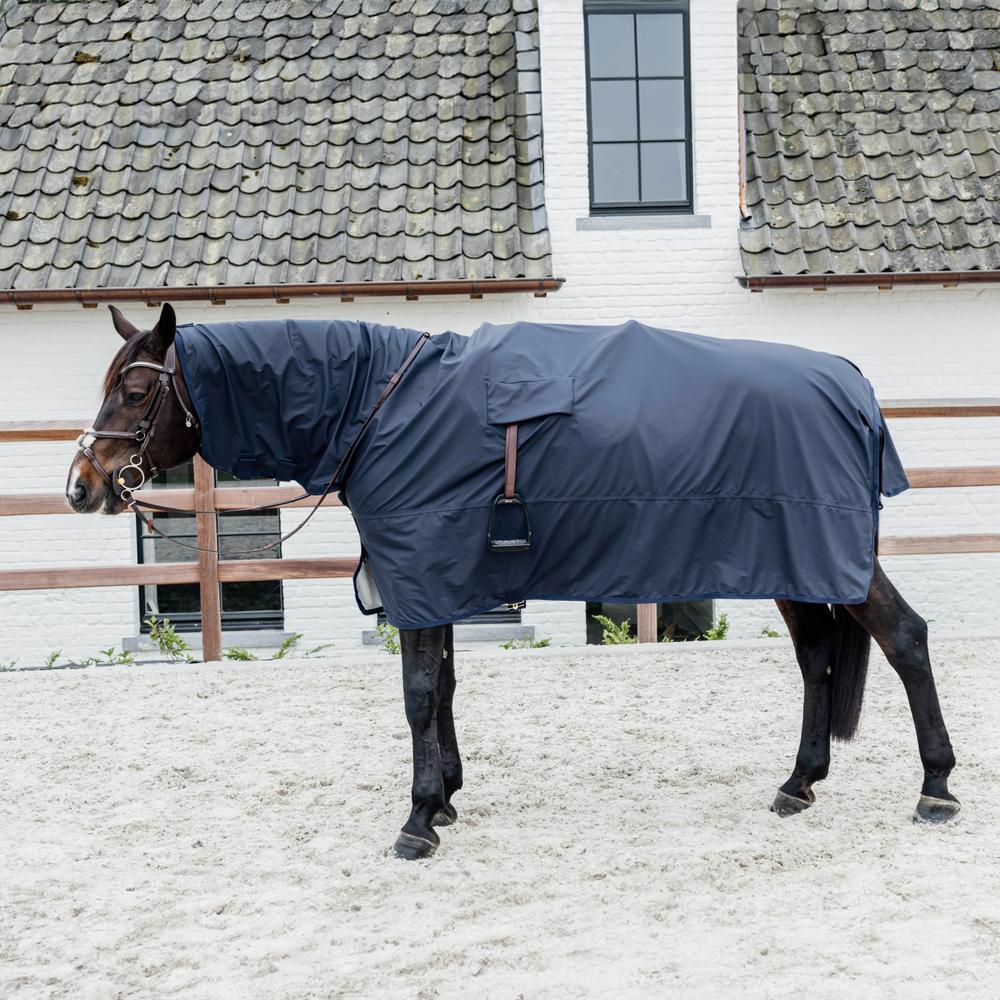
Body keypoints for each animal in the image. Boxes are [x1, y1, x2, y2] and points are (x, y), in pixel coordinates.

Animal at [65, 303, 960, 859]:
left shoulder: (420, 573)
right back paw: (799, 783)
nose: (81, 485)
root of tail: (851, 382)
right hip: (797, 564)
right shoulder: (433, 579)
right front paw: (447, 796)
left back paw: (936, 788)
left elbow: (418, 696)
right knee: (816, 659)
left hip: (826, 557)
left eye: (136, 390)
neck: (379, 407)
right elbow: (445, 690)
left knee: (904, 639)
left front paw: (418, 820)